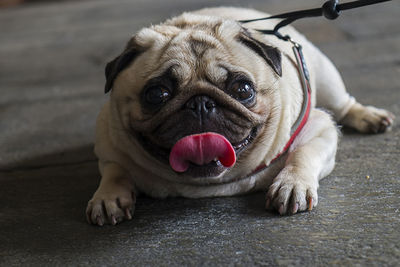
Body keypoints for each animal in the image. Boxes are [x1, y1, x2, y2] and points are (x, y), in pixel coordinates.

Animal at [86, 6, 396, 226]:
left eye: (243, 89)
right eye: (157, 94)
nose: (200, 103)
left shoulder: (320, 129)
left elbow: (303, 154)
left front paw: (292, 184)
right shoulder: (108, 142)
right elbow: (115, 169)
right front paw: (109, 196)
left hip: (325, 76)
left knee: (344, 104)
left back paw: (368, 117)